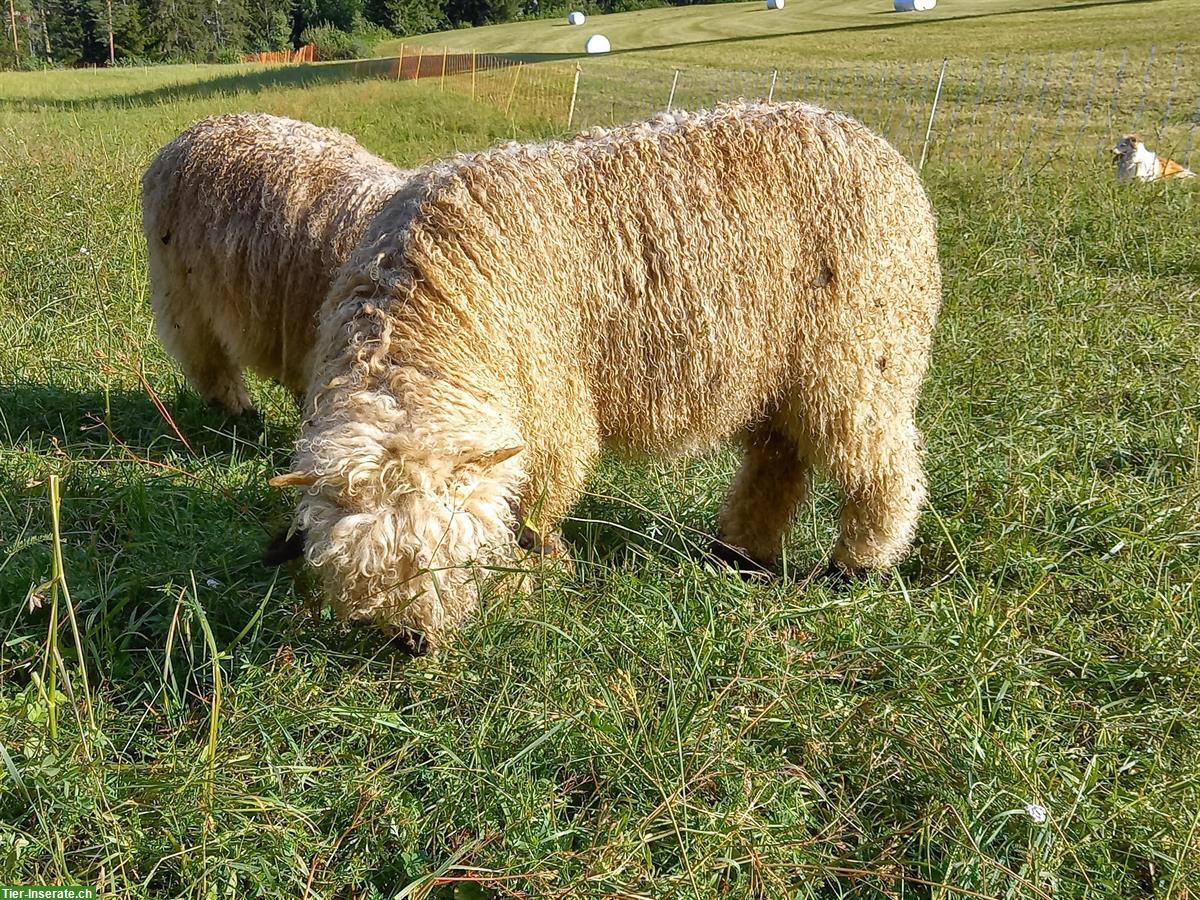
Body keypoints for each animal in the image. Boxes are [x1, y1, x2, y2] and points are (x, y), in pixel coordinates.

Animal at [276, 102, 940, 643]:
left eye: (453, 556)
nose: (409, 642)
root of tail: (881, 148)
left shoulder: (549, 407)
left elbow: (537, 503)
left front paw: (532, 577)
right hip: (788, 373)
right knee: (777, 461)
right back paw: (740, 555)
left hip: (862, 354)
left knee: (883, 465)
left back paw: (856, 566)